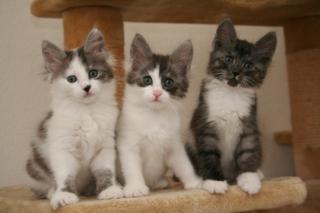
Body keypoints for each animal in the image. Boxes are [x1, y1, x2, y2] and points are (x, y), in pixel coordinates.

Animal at [26, 27, 123, 209]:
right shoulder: (62, 146)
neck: (86, 111)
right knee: (41, 187)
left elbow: (105, 170)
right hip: (34, 166)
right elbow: (65, 175)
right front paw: (64, 195)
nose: (87, 87)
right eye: (72, 79)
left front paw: (109, 190)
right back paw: (52, 192)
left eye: (93, 73)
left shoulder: (105, 145)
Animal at [117, 33, 228, 198]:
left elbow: (184, 164)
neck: (154, 116)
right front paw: (135, 188)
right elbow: (132, 168)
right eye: (147, 80)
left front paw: (195, 183)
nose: (157, 93)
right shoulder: (128, 144)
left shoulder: (174, 144)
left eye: (168, 82)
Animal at [186, 18, 276, 195]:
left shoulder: (249, 125)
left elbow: (248, 151)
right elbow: (208, 154)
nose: (235, 72)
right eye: (228, 59)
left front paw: (249, 178)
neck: (231, 94)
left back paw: (257, 172)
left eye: (248, 65)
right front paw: (214, 181)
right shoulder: (206, 124)